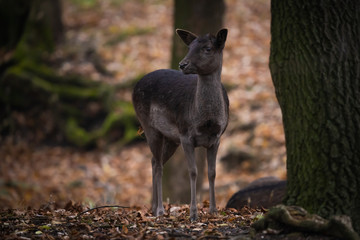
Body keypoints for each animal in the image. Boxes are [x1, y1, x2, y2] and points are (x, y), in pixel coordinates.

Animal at [131, 28, 228, 221]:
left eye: (208, 48)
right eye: (189, 47)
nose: (183, 64)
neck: (207, 121)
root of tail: (134, 86)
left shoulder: (216, 138)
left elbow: (212, 172)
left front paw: (213, 210)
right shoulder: (186, 135)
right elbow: (193, 171)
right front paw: (193, 214)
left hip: (170, 138)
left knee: (154, 161)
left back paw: (154, 208)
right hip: (149, 127)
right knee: (158, 164)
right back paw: (160, 210)